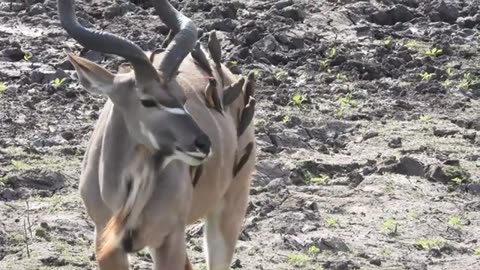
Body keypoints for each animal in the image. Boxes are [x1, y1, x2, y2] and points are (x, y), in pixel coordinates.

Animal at [56, 0, 256, 270]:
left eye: (182, 97)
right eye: (147, 101)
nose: (203, 143)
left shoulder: (170, 237)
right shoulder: (105, 240)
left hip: (231, 203)